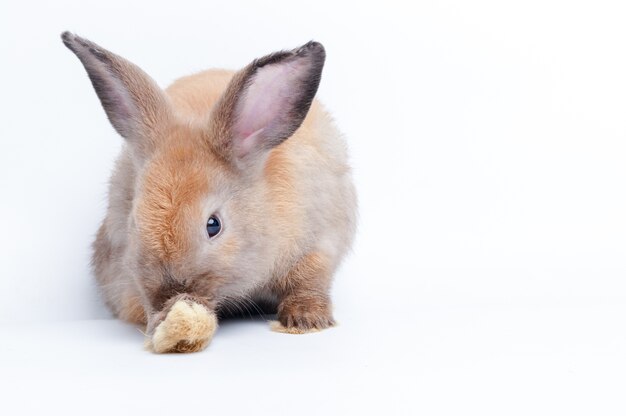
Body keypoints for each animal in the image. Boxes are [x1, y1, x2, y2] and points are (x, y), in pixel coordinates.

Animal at [62, 30, 356, 352]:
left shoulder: (319, 243)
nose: (171, 291)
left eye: (213, 225)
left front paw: (305, 320)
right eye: (133, 224)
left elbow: (309, 281)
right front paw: (162, 323)